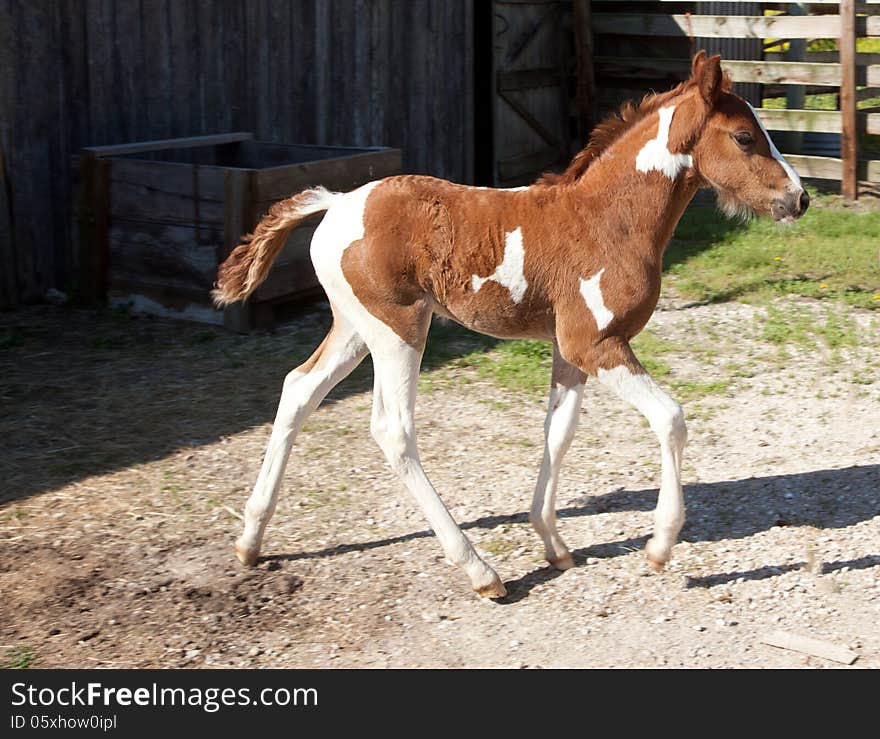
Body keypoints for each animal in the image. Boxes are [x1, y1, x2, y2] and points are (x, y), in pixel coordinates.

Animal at [211, 52, 804, 600]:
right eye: (745, 137)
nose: (798, 198)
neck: (606, 218)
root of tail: (336, 202)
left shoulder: (568, 349)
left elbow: (558, 432)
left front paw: (552, 542)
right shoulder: (595, 344)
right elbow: (671, 419)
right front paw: (660, 544)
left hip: (355, 326)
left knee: (299, 389)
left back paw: (250, 540)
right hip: (398, 329)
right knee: (393, 429)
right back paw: (480, 571)